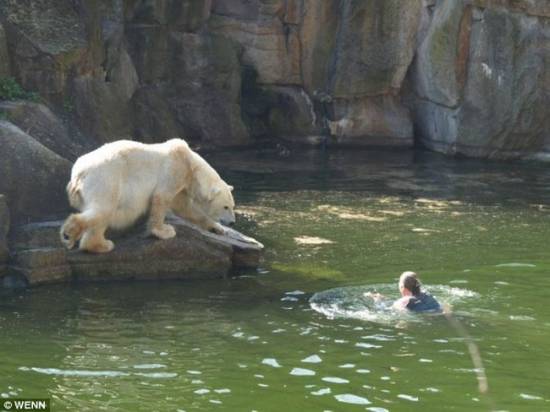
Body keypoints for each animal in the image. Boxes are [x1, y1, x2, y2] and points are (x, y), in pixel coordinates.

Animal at [59, 138, 235, 253]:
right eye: (225, 207)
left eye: (233, 206)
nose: (232, 222)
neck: (191, 165)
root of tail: (78, 174)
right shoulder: (174, 170)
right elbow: (161, 198)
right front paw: (164, 231)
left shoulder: (182, 184)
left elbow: (185, 208)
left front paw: (218, 229)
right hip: (106, 178)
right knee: (104, 209)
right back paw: (80, 236)